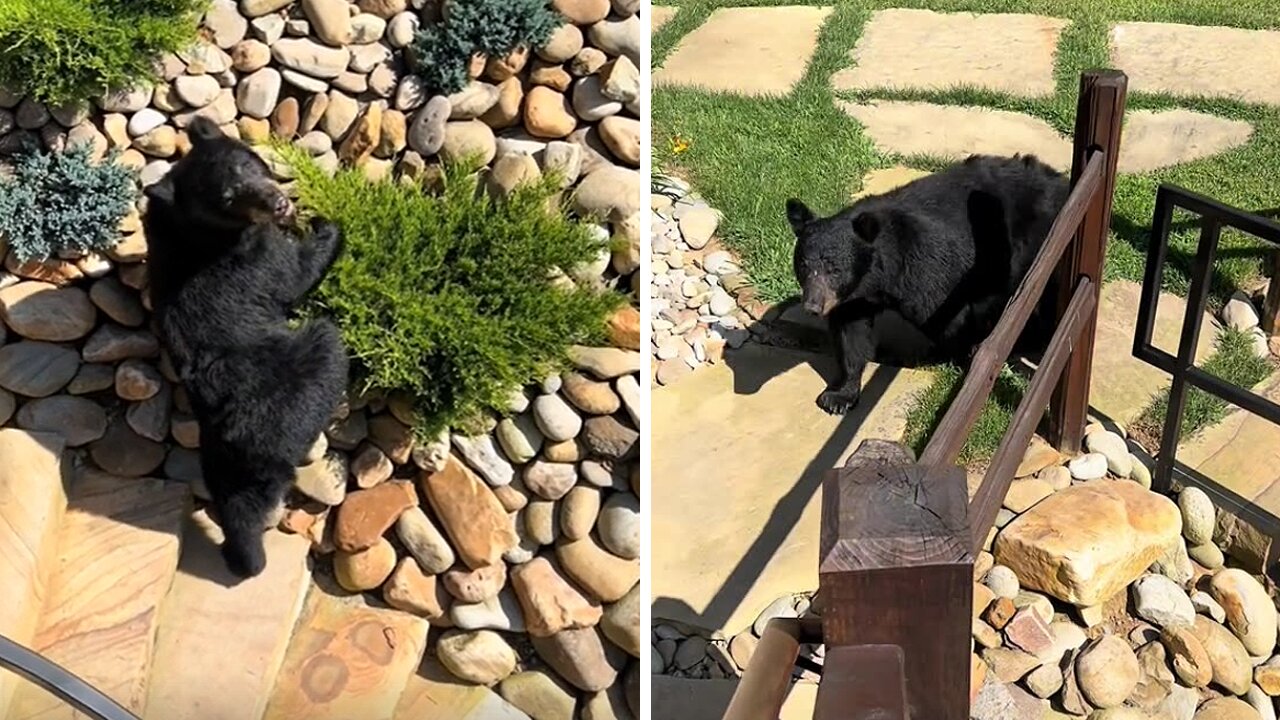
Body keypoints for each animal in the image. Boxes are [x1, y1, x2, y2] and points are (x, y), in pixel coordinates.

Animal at [144, 117, 350, 576]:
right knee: (327, 342)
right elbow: (295, 272)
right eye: (227, 198)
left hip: (220, 463)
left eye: (249, 163)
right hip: (301, 377)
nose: (277, 203)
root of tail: (232, 434)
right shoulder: (257, 254)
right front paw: (327, 226)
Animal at [778, 153, 1070, 412]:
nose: (813, 306)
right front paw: (838, 396)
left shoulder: (924, 266)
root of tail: (1061, 183)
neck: (878, 275)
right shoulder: (852, 298)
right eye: (804, 266)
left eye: (834, 269)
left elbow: (947, 317)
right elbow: (851, 334)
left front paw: (961, 355)